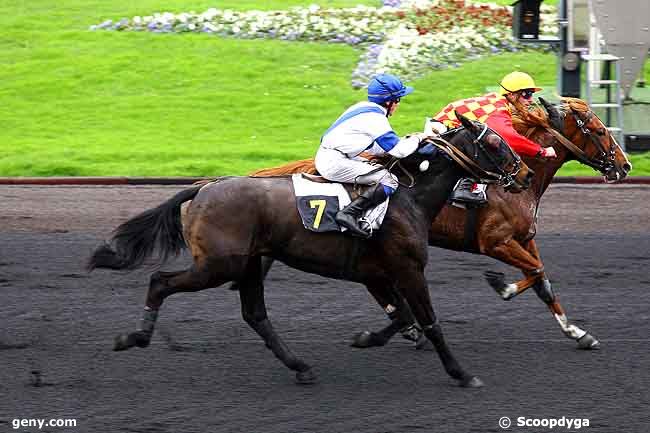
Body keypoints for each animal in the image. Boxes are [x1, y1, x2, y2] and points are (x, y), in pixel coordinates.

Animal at [87, 114, 532, 384]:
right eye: (495, 143)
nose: (525, 173)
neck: (409, 197)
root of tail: (205, 187)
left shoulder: (378, 272)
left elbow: (402, 316)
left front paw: (366, 338)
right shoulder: (407, 269)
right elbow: (429, 322)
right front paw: (461, 373)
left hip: (248, 264)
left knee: (255, 315)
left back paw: (300, 366)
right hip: (218, 264)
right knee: (161, 282)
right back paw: (134, 337)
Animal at [242, 98, 628, 352]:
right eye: (599, 130)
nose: (624, 166)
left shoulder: (523, 238)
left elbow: (542, 280)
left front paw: (576, 332)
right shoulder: (496, 241)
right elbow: (534, 272)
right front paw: (501, 285)